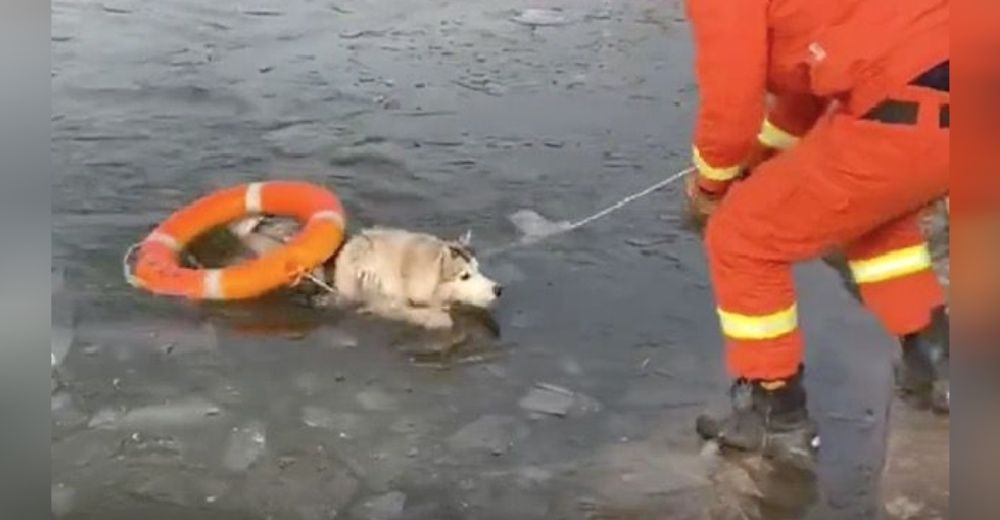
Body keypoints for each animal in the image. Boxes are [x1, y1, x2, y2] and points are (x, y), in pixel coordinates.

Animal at [230, 216, 504, 330]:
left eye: (478, 269)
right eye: (464, 276)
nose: (499, 289)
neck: (404, 271)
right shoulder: (380, 302)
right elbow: (424, 315)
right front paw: (438, 318)